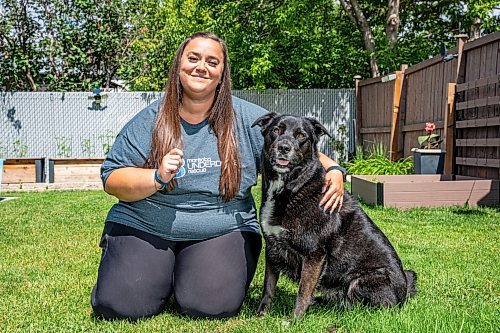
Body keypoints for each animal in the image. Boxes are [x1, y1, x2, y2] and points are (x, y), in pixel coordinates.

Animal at [252, 113, 416, 318]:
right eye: (276, 130)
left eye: (301, 135)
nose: (283, 147)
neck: (291, 188)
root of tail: (404, 292)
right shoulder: (272, 248)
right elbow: (268, 288)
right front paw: (261, 315)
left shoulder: (314, 254)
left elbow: (303, 292)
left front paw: (294, 320)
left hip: (362, 280)